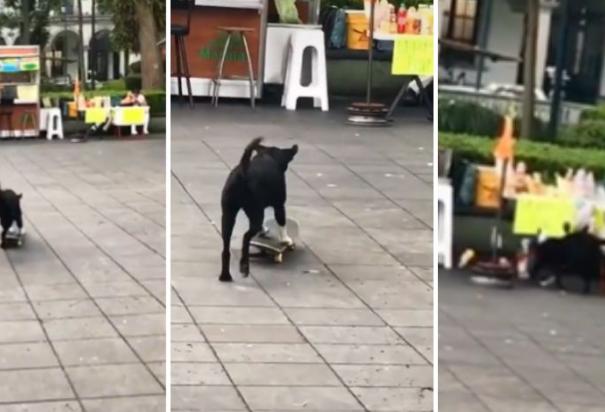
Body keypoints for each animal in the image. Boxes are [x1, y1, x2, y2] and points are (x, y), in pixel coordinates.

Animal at [221, 137, 298, 282]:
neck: (268, 156)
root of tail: (242, 173)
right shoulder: (279, 205)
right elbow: (282, 223)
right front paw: (286, 240)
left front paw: (264, 230)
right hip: (255, 212)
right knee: (246, 237)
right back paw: (244, 266)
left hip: (228, 215)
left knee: (226, 247)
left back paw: (225, 275)